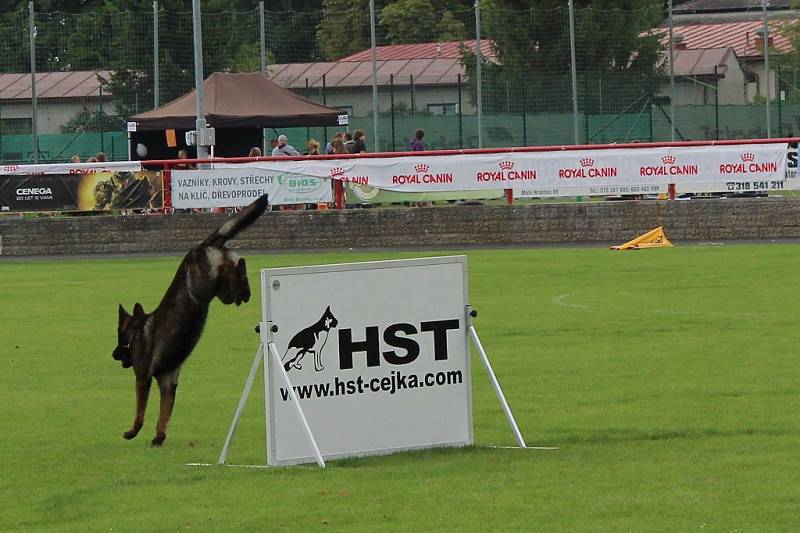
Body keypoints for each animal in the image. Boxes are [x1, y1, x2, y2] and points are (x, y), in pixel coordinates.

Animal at [111, 193, 270, 446]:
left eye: (118, 336)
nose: (113, 354)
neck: (137, 333)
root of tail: (202, 246)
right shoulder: (168, 382)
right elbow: (164, 415)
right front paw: (158, 438)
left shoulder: (142, 379)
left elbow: (140, 412)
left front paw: (132, 431)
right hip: (226, 293)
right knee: (238, 274)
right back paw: (244, 280)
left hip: (206, 285)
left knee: (231, 269)